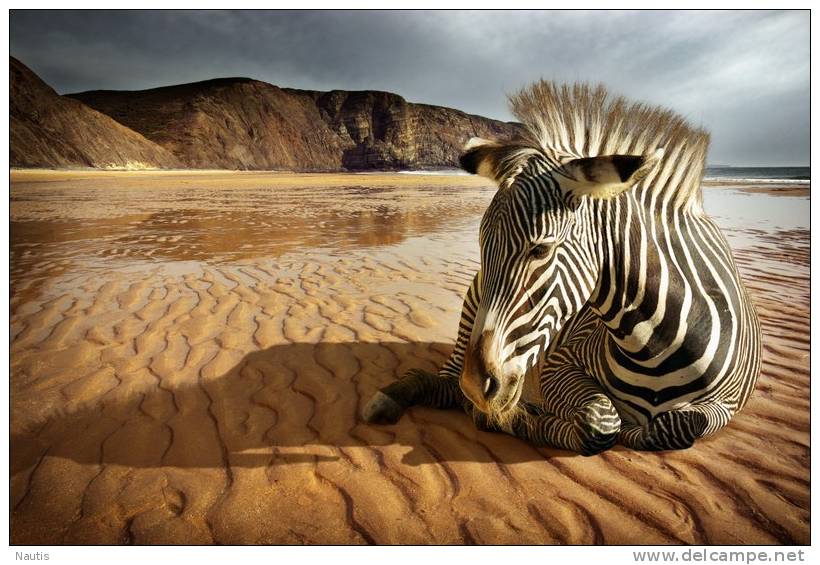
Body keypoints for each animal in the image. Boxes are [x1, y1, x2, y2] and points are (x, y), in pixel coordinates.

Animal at [362, 80, 760, 454]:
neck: (656, 345)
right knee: (445, 383)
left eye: (540, 250)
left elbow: (677, 425)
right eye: (481, 246)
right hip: (471, 312)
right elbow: (601, 423)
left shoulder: (727, 404)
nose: (476, 386)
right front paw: (517, 418)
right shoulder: (559, 364)